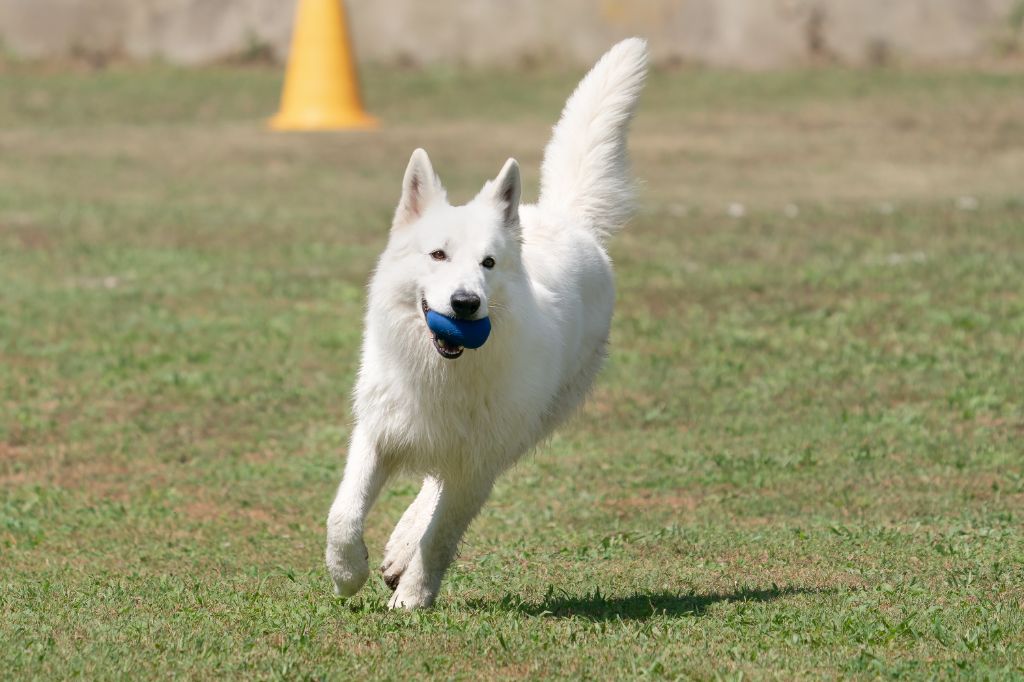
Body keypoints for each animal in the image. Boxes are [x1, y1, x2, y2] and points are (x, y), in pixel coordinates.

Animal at [325, 39, 647, 606]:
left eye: (488, 263)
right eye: (438, 254)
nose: (464, 304)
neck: (442, 370)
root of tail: (569, 218)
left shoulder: (479, 464)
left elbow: (441, 535)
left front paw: (413, 597)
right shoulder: (379, 431)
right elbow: (342, 514)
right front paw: (348, 574)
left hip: (522, 429)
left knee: (438, 492)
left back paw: (403, 551)